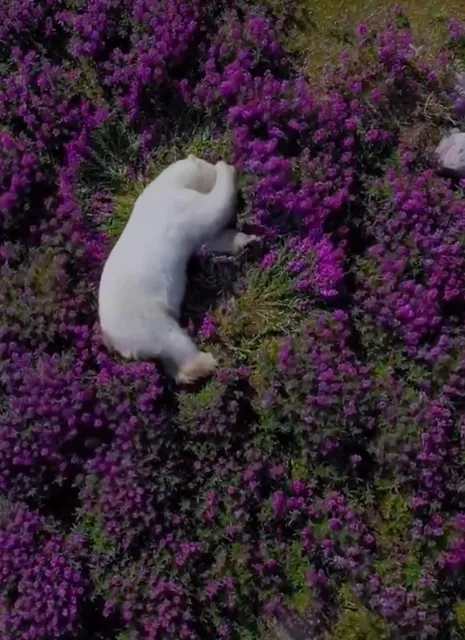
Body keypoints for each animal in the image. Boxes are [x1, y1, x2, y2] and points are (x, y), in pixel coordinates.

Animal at [98, 154, 257, 384]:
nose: (213, 163)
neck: (165, 186)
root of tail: (114, 341)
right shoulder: (183, 205)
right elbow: (213, 208)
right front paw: (225, 168)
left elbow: (211, 240)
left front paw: (247, 240)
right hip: (146, 319)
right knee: (172, 340)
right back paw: (206, 362)